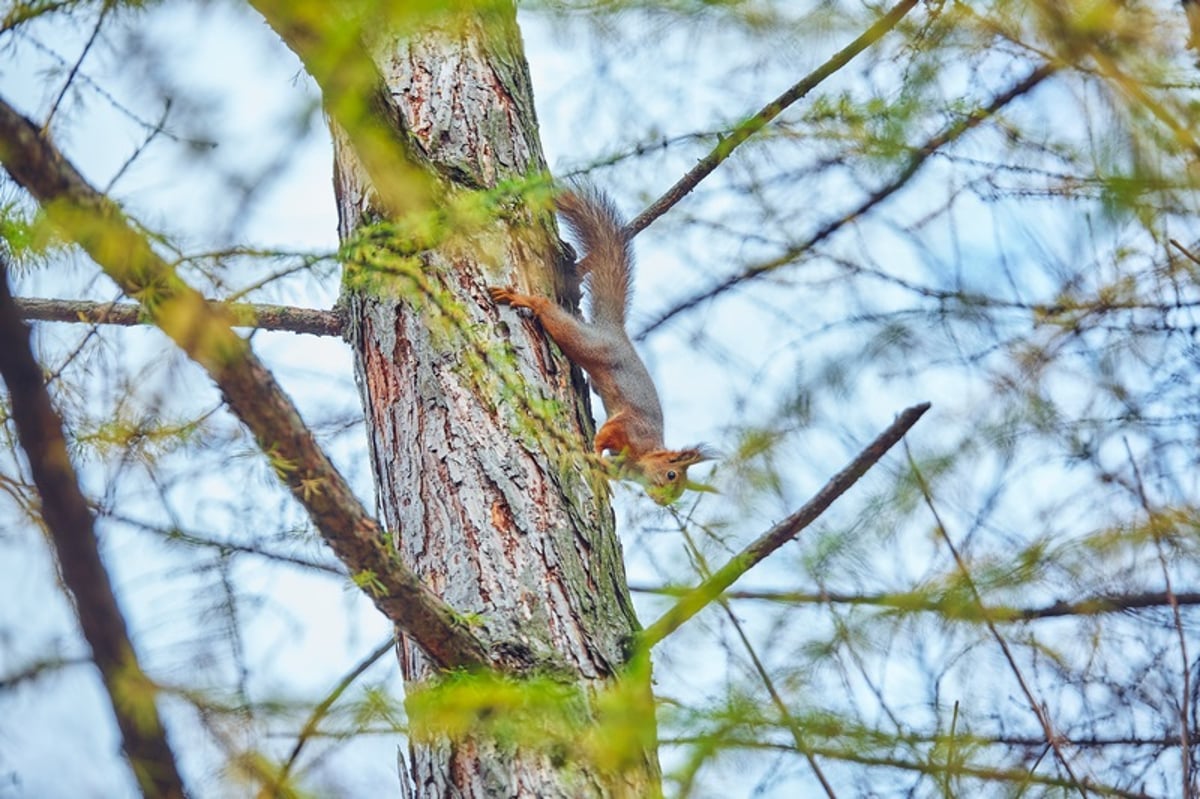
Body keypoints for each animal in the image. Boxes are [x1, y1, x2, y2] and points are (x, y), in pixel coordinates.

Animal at [489, 184, 710, 503]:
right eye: (671, 474)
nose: (662, 501)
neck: (645, 451)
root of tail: (615, 332)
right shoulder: (630, 426)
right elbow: (606, 434)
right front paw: (593, 449)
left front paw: (603, 475)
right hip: (589, 344)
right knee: (552, 314)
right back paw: (527, 300)